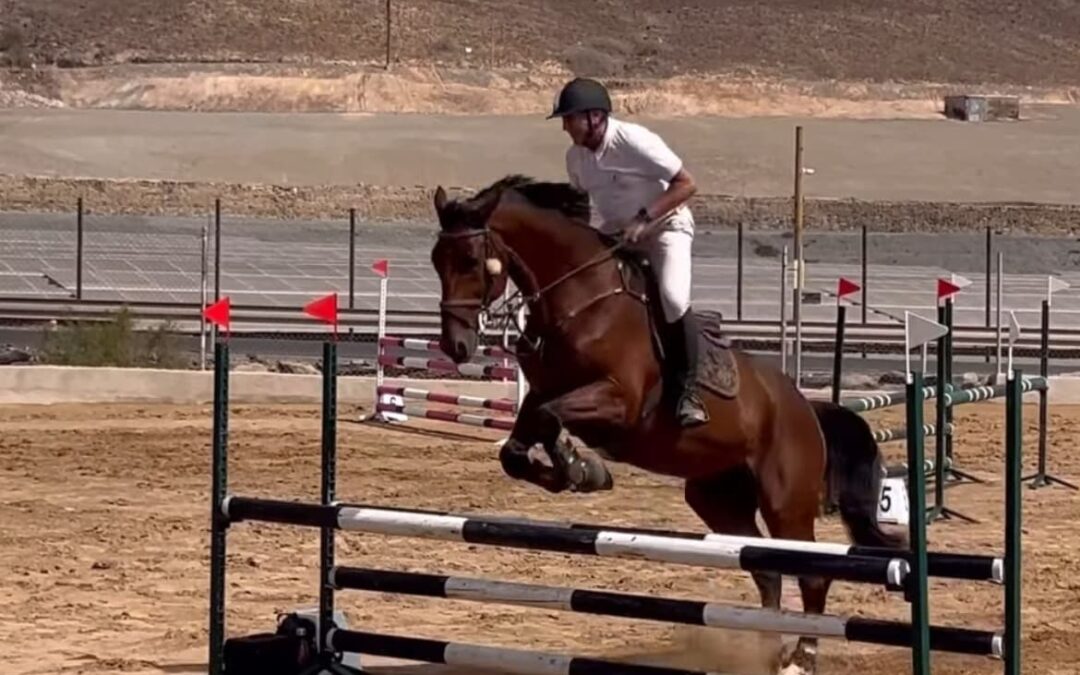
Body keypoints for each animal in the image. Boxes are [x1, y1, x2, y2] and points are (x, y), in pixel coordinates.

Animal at [425, 174, 907, 673]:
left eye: (470, 260)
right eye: (436, 260)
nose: (456, 346)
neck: (580, 300)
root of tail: (808, 409)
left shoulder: (618, 403)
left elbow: (549, 418)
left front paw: (580, 467)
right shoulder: (542, 393)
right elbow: (516, 447)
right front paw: (575, 471)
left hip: (785, 501)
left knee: (810, 574)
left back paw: (801, 658)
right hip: (718, 499)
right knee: (765, 567)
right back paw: (767, 649)